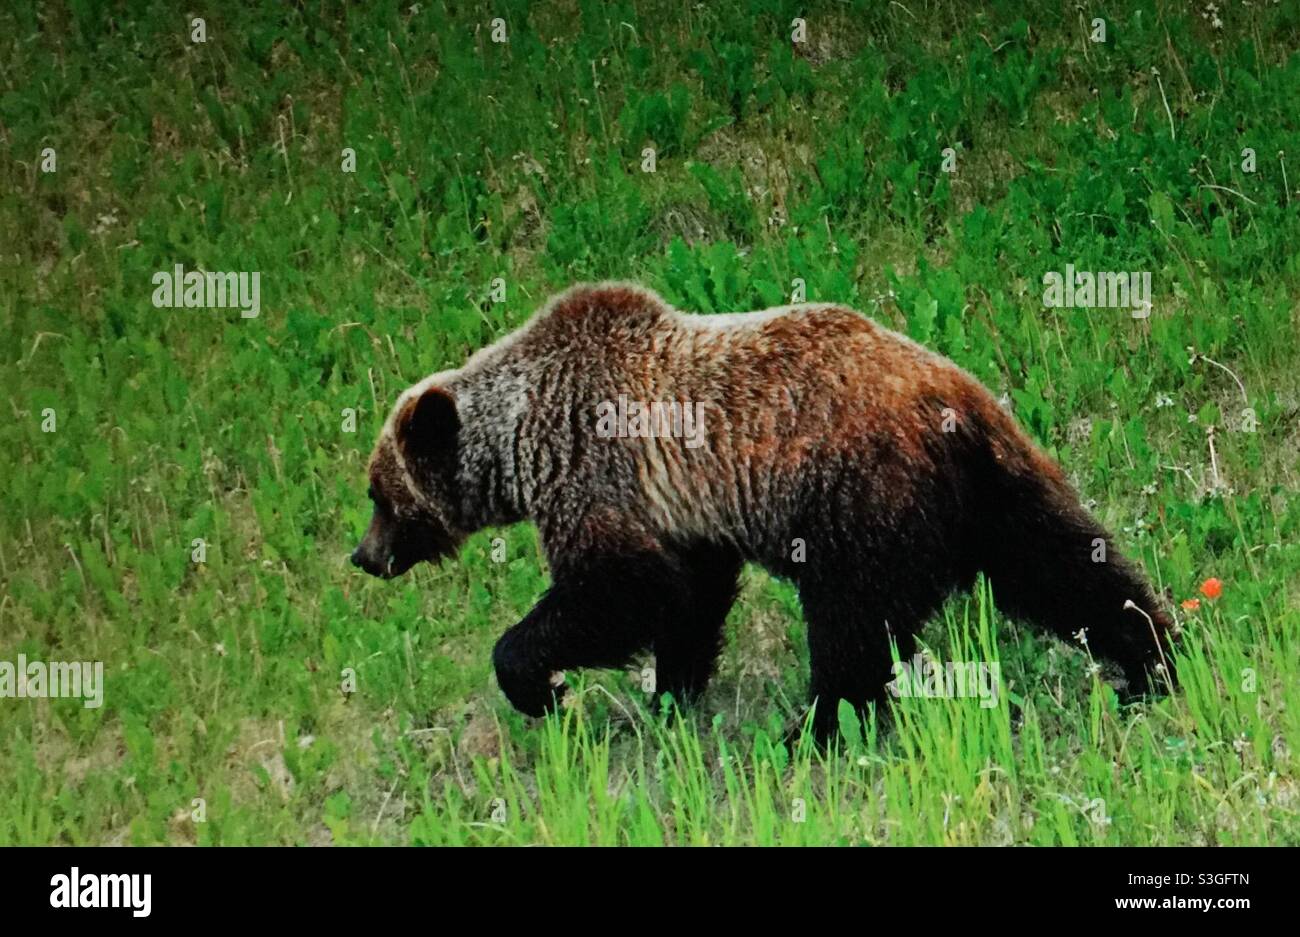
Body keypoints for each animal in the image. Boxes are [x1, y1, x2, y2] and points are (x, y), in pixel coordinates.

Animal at [351, 282, 1177, 740]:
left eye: (379, 493)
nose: (364, 555)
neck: (521, 440)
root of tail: (954, 399)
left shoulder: (597, 475)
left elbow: (619, 589)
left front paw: (540, 683)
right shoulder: (686, 512)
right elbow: (688, 598)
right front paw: (669, 693)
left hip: (859, 495)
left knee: (851, 625)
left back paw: (811, 728)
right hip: (993, 492)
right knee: (1068, 567)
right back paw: (1157, 659)